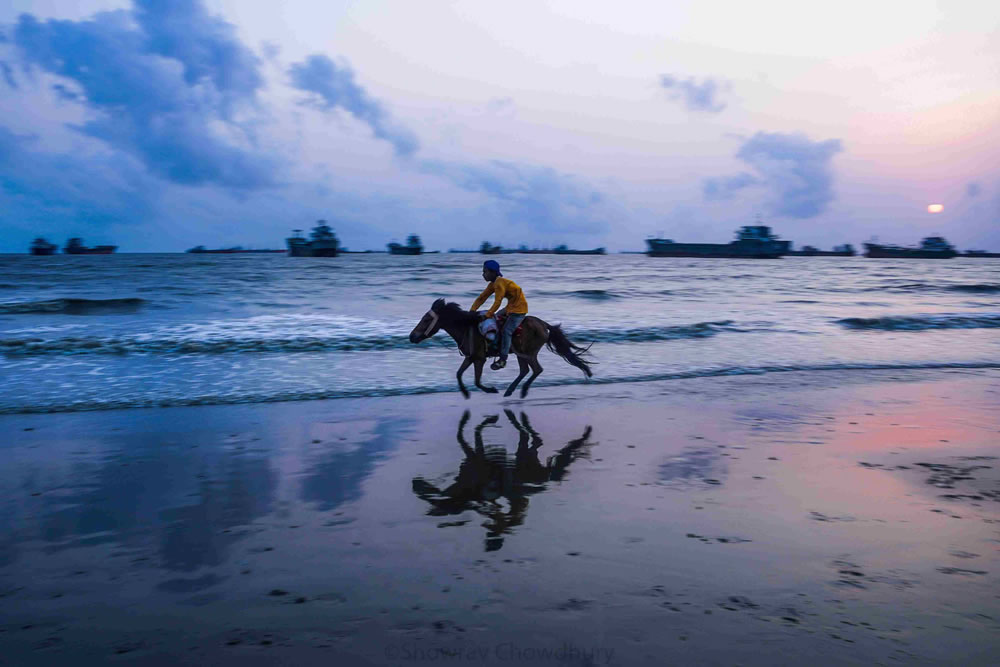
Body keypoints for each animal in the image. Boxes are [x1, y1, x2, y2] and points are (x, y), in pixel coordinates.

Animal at [408, 300, 592, 400]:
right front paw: (465, 393)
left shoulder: (479, 359)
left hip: (528, 353)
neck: (466, 327)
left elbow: (477, 381)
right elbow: (459, 374)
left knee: (536, 369)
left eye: (426, 320)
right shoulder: (470, 357)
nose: (411, 336)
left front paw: (492, 390)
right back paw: (510, 390)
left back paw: (522, 390)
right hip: (520, 353)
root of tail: (544, 324)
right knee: (526, 370)